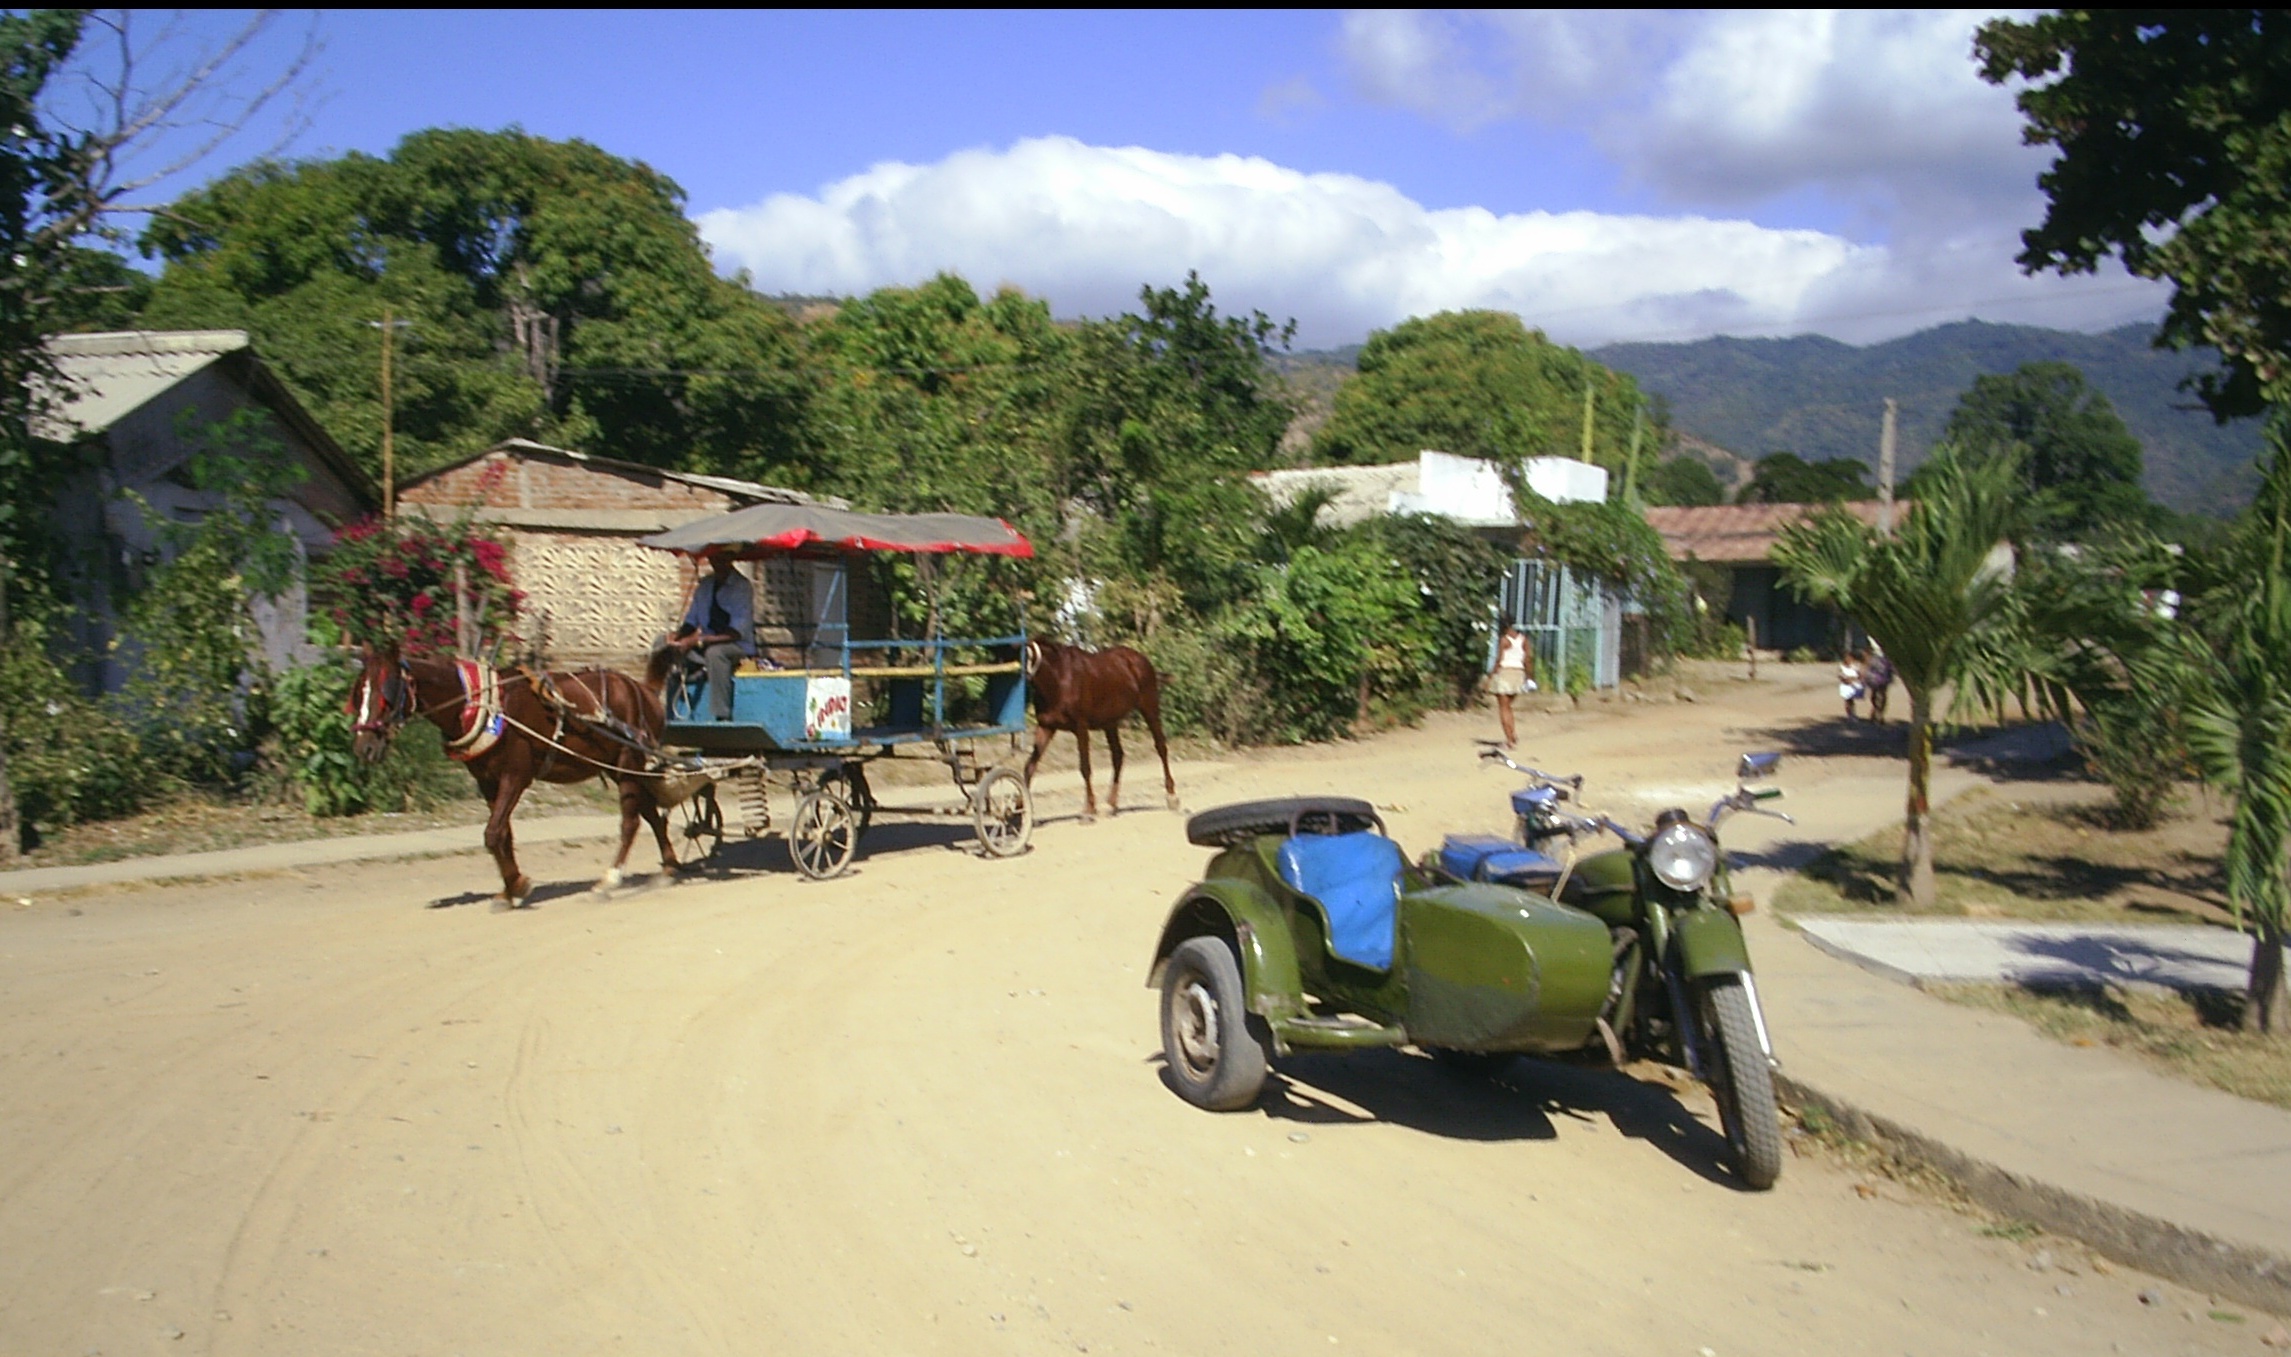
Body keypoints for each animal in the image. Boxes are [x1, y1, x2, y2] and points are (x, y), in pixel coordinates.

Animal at [350, 641, 678, 903]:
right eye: (358, 693)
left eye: (386, 691)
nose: (364, 747)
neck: (483, 705)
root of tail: (644, 690)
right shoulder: (486, 781)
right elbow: (503, 834)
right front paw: (512, 887)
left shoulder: (516, 776)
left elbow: (493, 833)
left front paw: (516, 886)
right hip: (617, 768)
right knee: (651, 813)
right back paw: (669, 866)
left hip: (628, 762)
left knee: (631, 822)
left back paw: (610, 879)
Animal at [1026, 641, 1182, 820]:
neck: (1058, 678)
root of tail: (1141, 659)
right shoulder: (1046, 727)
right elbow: (1029, 767)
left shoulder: (1080, 727)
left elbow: (1085, 767)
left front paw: (1088, 810)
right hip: (1110, 723)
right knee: (1118, 755)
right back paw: (1111, 805)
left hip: (1149, 709)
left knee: (1161, 747)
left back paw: (1172, 797)